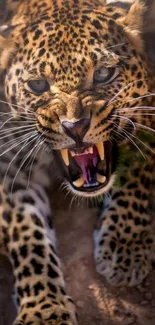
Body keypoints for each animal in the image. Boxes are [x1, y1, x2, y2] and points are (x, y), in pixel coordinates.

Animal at [0, 0, 154, 322]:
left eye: (104, 74)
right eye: (37, 85)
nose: (75, 127)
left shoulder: (147, 112)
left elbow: (134, 180)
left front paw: (125, 248)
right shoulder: (9, 167)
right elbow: (26, 234)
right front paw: (43, 308)